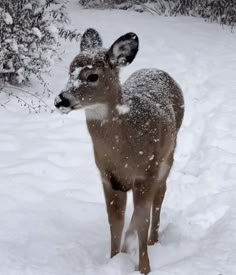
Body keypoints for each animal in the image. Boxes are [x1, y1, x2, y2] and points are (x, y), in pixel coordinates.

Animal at [54, 28, 184, 274]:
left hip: (167, 157)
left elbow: (142, 221)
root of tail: (158, 70)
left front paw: (144, 267)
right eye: (70, 70)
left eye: (92, 76)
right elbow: (115, 221)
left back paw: (154, 241)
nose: (61, 99)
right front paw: (115, 258)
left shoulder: (146, 173)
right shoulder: (109, 178)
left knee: (160, 196)